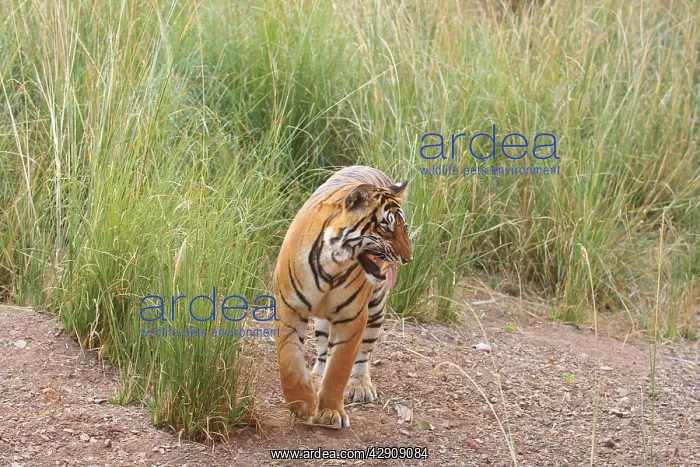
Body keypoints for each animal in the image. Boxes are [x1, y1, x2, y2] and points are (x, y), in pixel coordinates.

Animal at [273, 165, 413, 429]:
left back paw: (359, 386)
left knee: (364, 352)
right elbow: (289, 360)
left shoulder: (353, 316)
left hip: (376, 307)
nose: (408, 258)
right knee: (322, 350)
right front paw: (302, 404)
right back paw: (315, 377)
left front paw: (329, 412)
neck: (332, 264)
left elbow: (340, 367)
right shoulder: (289, 306)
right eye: (386, 227)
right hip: (322, 320)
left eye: (404, 227)